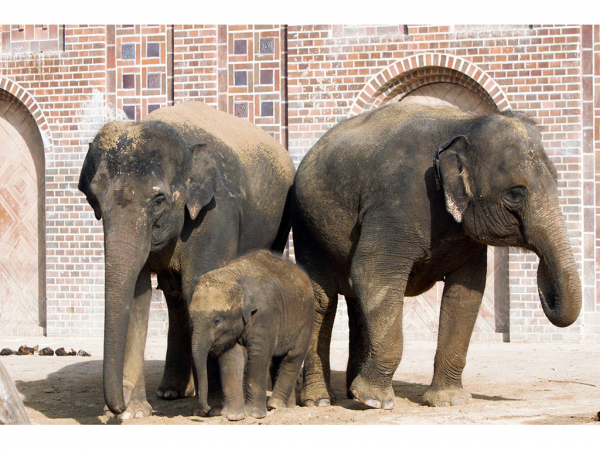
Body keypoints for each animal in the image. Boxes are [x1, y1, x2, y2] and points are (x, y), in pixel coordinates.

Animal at [79, 101, 296, 418]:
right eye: (94, 198)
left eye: (158, 200)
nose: (116, 408)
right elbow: (137, 295)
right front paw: (136, 412)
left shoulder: (215, 214)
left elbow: (201, 283)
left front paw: (213, 407)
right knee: (174, 295)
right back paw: (171, 392)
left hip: (279, 225)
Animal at [191, 250, 314, 418]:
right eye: (191, 317)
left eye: (217, 320)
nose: (208, 409)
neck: (235, 274)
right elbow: (230, 356)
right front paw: (233, 416)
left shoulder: (266, 315)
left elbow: (258, 354)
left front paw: (255, 415)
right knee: (278, 360)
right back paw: (285, 408)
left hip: (306, 320)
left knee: (293, 357)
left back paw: (275, 405)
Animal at [292, 103, 584, 412]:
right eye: (516, 193)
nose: (544, 285)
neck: (466, 124)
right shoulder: (397, 203)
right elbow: (373, 272)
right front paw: (374, 401)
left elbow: (467, 292)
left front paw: (450, 400)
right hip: (306, 227)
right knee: (323, 299)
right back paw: (321, 401)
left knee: (356, 303)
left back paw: (350, 394)